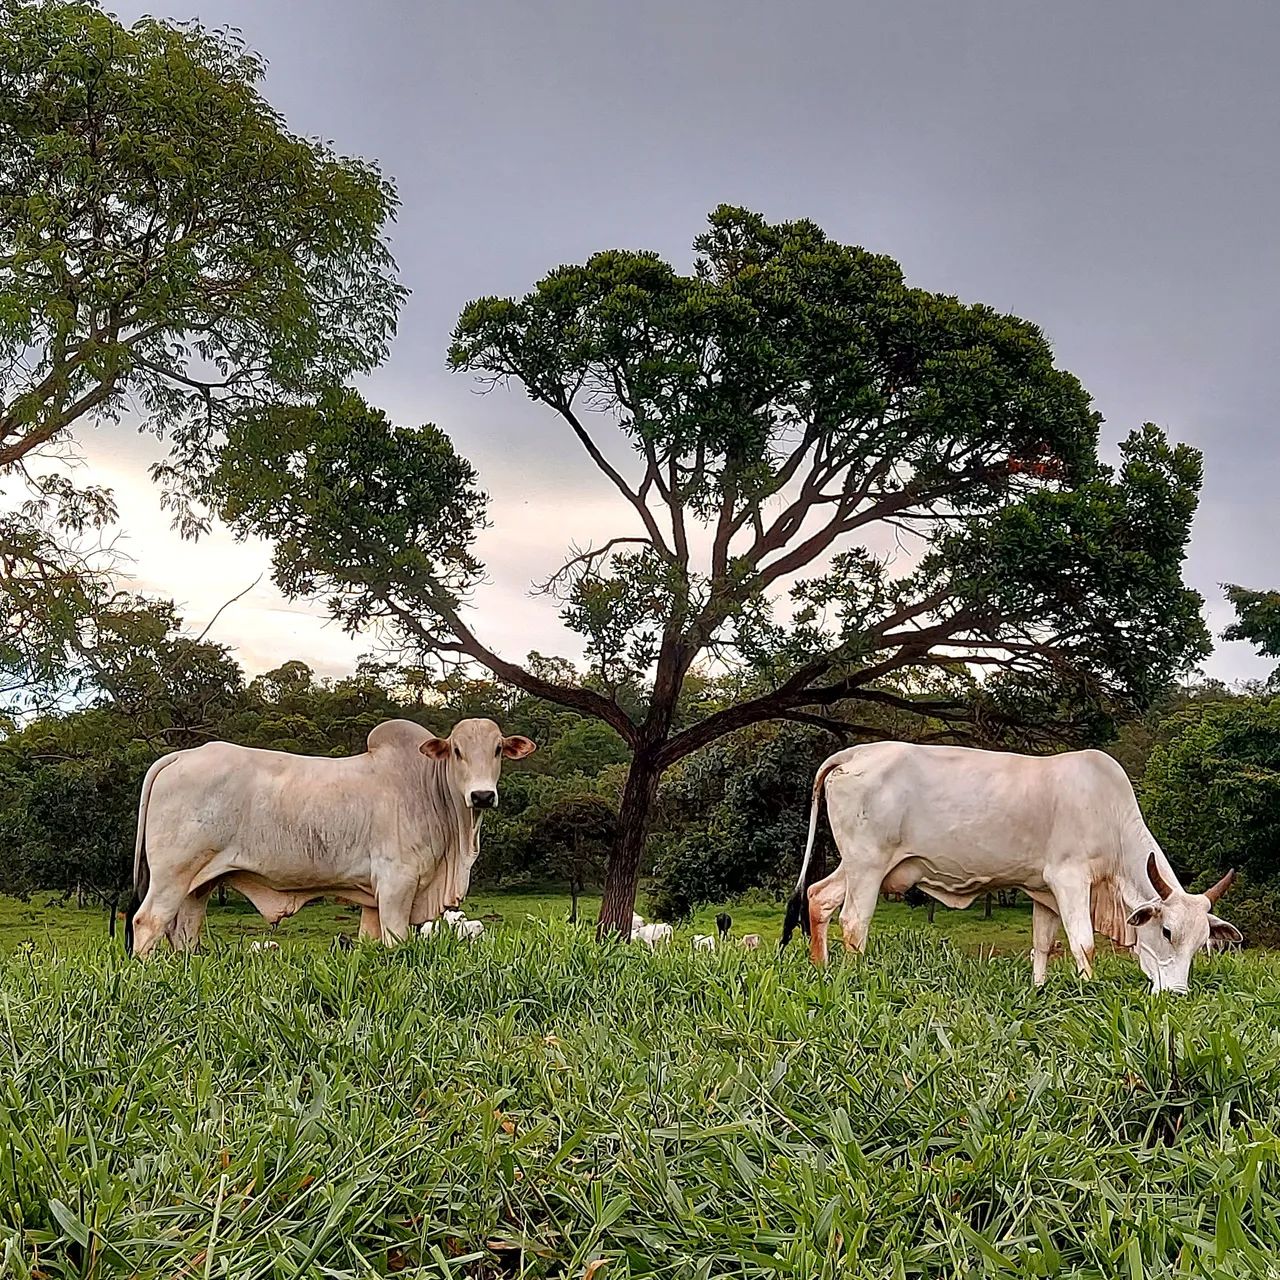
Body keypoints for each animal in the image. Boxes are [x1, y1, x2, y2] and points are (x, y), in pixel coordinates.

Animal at [124, 718, 535, 957]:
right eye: (457, 751)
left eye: (498, 749)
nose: (482, 796)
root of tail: (180, 756)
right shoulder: (397, 884)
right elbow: (396, 940)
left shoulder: (375, 897)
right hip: (172, 876)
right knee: (148, 922)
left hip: (200, 883)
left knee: (185, 930)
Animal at [782, 742, 1240, 994]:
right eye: (1167, 932)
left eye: (1202, 943)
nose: (1177, 994)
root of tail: (855, 752)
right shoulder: (1070, 879)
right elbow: (1083, 944)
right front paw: (1088, 990)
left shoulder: (1045, 893)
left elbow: (1043, 946)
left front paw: (1040, 990)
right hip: (868, 865)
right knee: (854, 922)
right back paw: (853, 979)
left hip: (859, 866)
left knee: (818, 899)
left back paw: (821, 971)